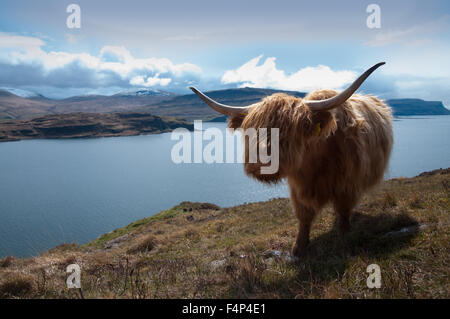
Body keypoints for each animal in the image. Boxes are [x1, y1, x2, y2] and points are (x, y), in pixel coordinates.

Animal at [190, 62, 394, 258]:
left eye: (289, 131)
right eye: (251, 130)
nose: (259, 162)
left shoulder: (347, 185)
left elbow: (344, 214)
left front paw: (345, 242)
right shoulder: (297, 188)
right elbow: (303, 216)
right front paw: (299, 249)